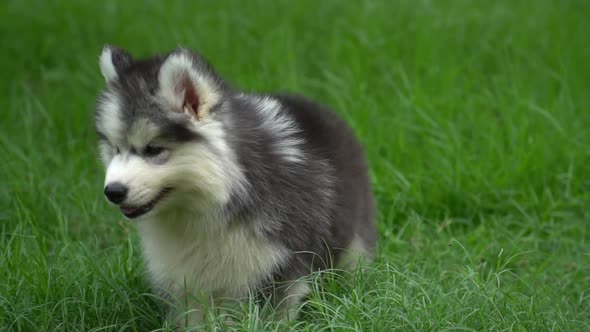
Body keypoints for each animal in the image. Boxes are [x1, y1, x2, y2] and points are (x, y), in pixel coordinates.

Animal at [95, 45, 376, 322]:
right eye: (115, 148)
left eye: (153, 149)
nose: (113, 191)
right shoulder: (186, 277)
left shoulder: (282, 264)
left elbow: (274, 315)